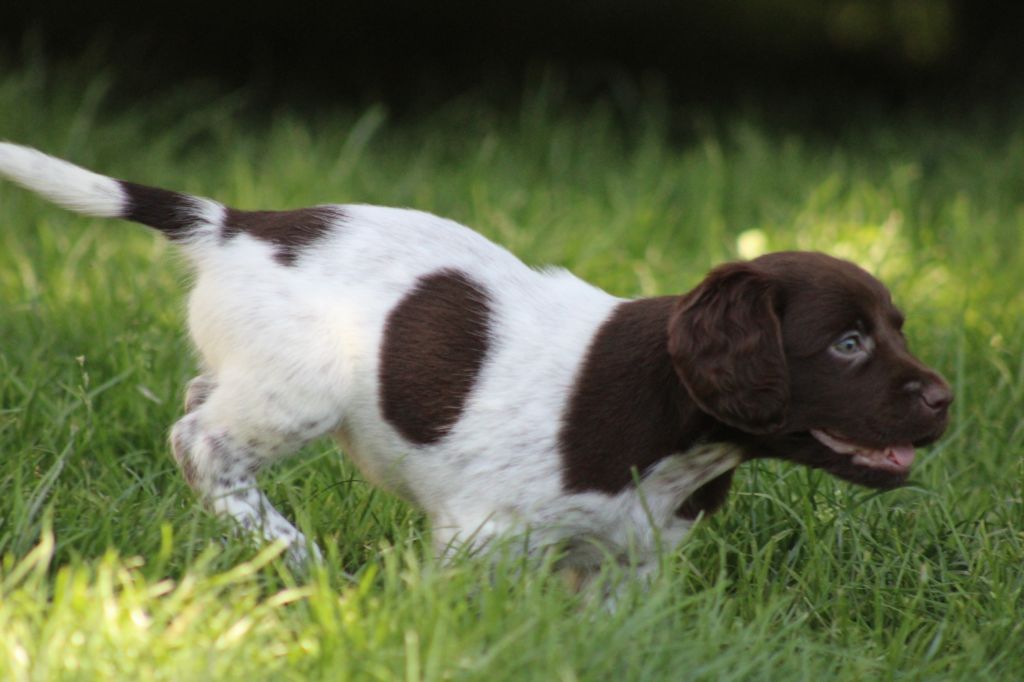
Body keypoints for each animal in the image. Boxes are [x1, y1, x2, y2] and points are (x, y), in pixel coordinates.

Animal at [0, 142, 950, 577]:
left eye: (897, 328)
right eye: (848, 344)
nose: (945, 399)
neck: (679, 437)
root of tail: (238, 222)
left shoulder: (625, 562)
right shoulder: (482, 540)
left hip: (260, 374)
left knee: (201, 396)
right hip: (304, 387)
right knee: (199, 441)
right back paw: (287, 549)